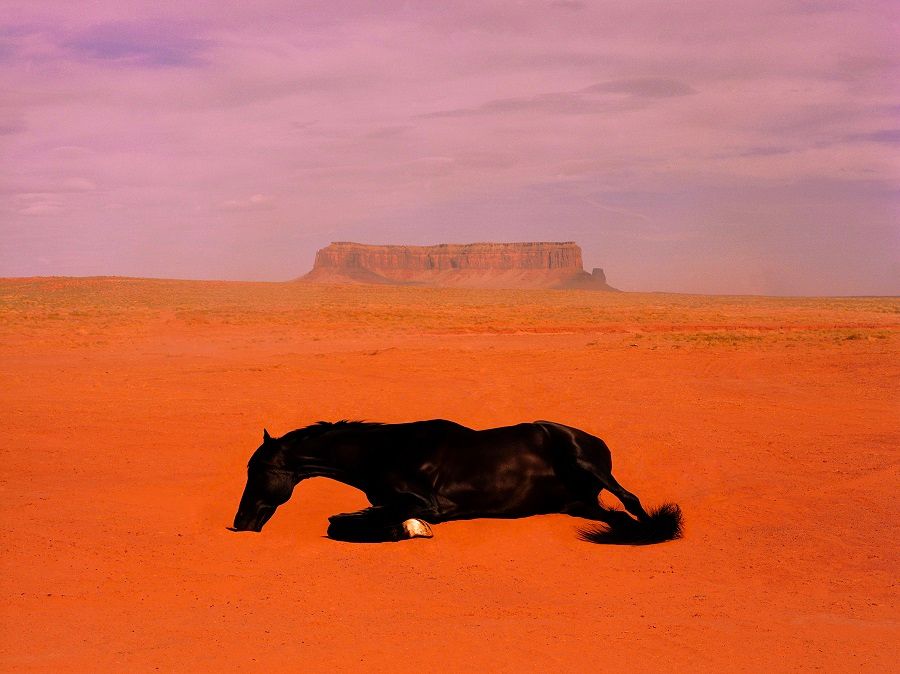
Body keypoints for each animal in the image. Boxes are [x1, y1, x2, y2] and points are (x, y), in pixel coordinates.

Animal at [230, 419, 683, 544]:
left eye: (257, 472)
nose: (240, 523)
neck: (384, 451)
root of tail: (595, 439)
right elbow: (348, 521)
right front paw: (407, 529)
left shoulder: (430, 502)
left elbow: (344, 523)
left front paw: (410, 529)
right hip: (580, 504)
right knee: (619, 518)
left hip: (586, 462)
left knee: (633, 502)